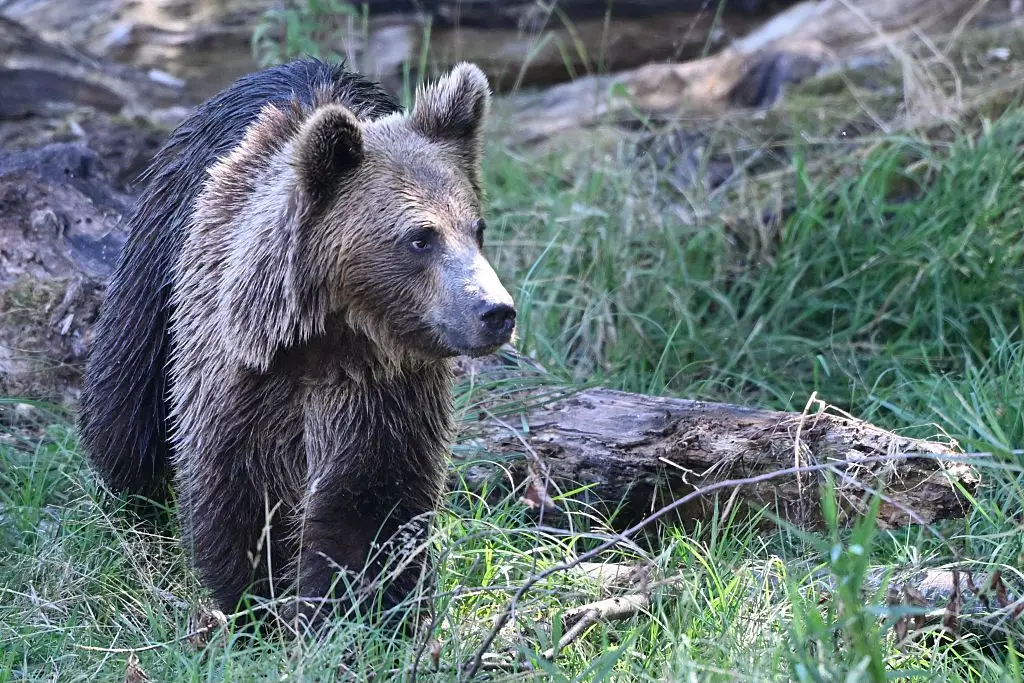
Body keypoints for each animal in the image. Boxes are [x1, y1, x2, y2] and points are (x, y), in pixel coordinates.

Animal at [77, 57, 516, 631]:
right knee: (124, 405)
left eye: (477, 229)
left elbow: (371, 500)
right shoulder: (241, 375)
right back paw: (130, 511)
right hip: (158, 262)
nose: (496, 312)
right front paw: (255, 606)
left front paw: (360, 613)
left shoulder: (382, 393)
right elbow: (244, 490)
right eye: (421, 238)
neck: (331, 335)